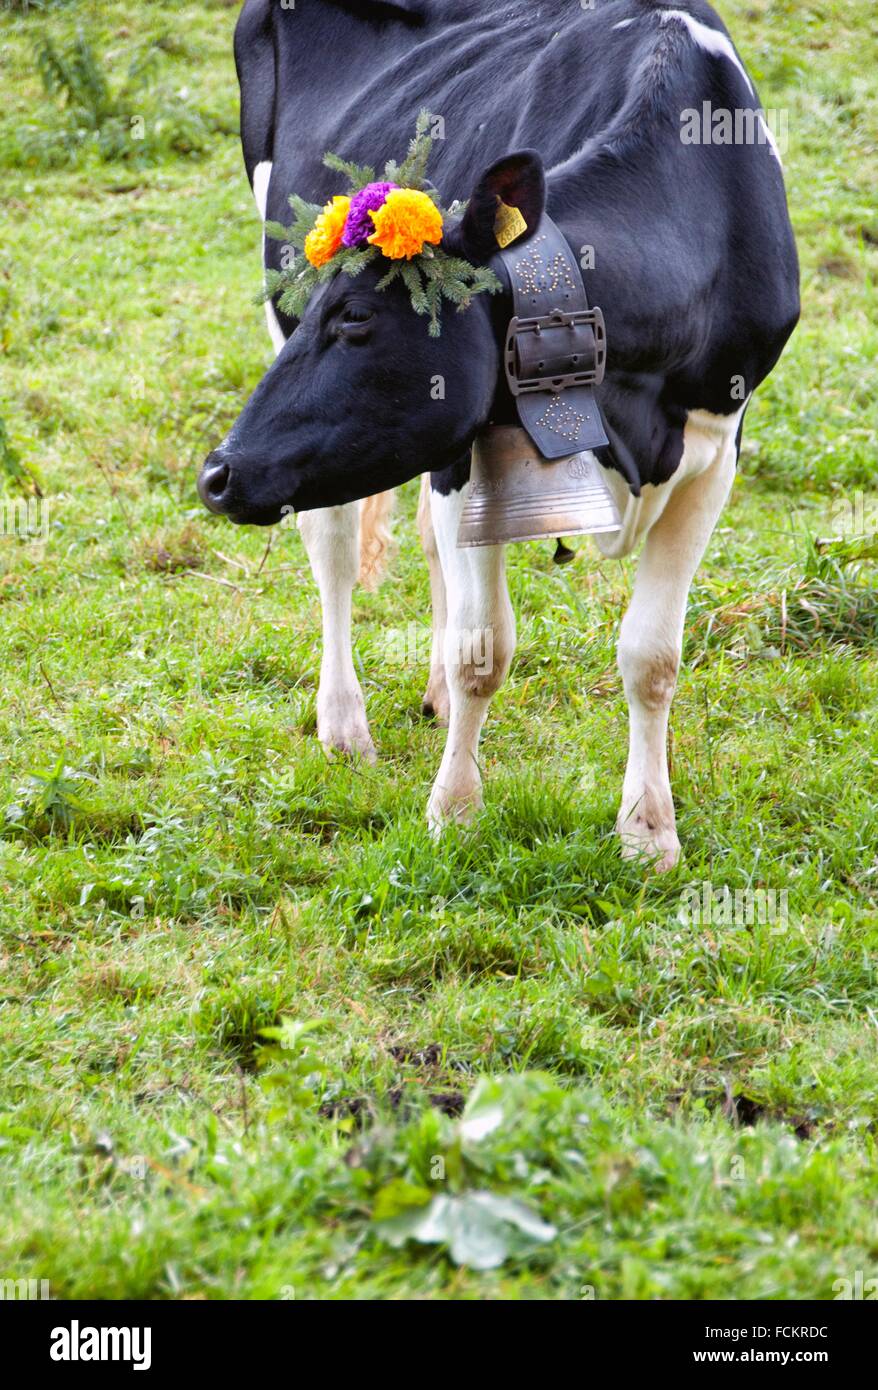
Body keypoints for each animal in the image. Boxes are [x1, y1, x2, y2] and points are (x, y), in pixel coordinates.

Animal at [198, 0, 799, 871]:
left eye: (356, 318)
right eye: (321, 307)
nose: (216, 474)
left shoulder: (715, 450)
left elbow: (652, 657)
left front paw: (649, 833)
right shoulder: (469, 448)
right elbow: (482, 651)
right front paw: (454, 811)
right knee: (334, 544)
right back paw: (344, 725)